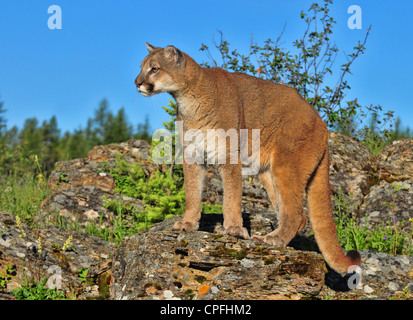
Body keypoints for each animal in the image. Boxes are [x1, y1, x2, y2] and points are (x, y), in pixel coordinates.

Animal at [134, 42, 358, 272]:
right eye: (141, 67)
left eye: (154, 69)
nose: (137, 83)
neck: (188, 99)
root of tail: (321, 122)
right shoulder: (193, 157)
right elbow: (192, 193)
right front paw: (188, 224)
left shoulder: (229, 155)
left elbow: (232, 196)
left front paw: (234, 228)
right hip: (269, 174)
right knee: (295, 214)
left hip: (286, 165)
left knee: (297, 214)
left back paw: (272, 239)